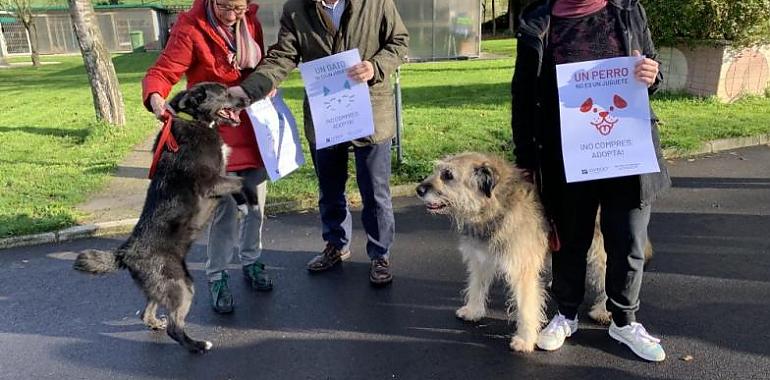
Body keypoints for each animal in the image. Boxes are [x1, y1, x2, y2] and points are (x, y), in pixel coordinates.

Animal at [73, 82, 249, 354]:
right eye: (225, 93)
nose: (247, 100)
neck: (195, 120)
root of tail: (125, 252)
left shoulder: (220, 180)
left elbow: (237, 183)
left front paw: (243, 202)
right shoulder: (211, 182)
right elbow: (240, 181)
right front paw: (249, 199)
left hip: (162, 286)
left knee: (145, 313)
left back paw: (156, 322)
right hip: (181, 285)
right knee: (175, 328)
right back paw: (198, 345)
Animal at [414, 152, 648, 354]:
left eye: (448, 175)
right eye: (438, 170)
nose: (418, 189)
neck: (493, 207)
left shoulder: (522, 270)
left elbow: (526, 305)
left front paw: (525, 340)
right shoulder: (481, 259)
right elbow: (476, 285)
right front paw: (473, 310)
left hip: (599, 248)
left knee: (607, 273)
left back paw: (602, 310)